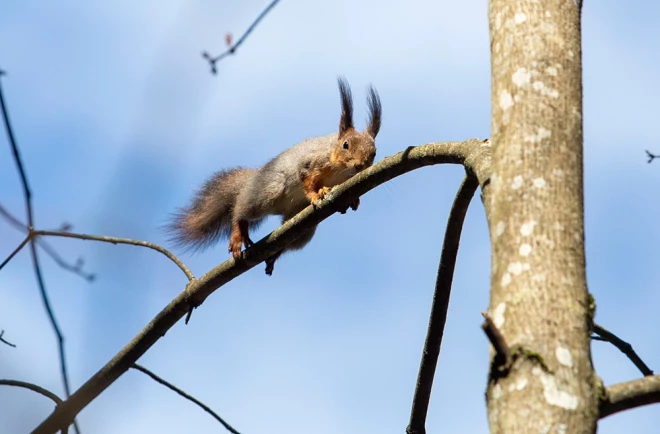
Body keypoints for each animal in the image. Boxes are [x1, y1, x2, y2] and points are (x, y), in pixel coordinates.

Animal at [165, 76, 382, 274]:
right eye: (346, 145)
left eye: (374, 152)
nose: (360, 165)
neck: (338, 168)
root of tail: (253, 179)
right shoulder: (311, 162)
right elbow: (307, 179)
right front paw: (317, 193)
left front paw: (354, 200)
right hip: (269, 190)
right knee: (239, 210)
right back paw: (238, 234)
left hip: (299, 222)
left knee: (288, 240)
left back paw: (273, 256)